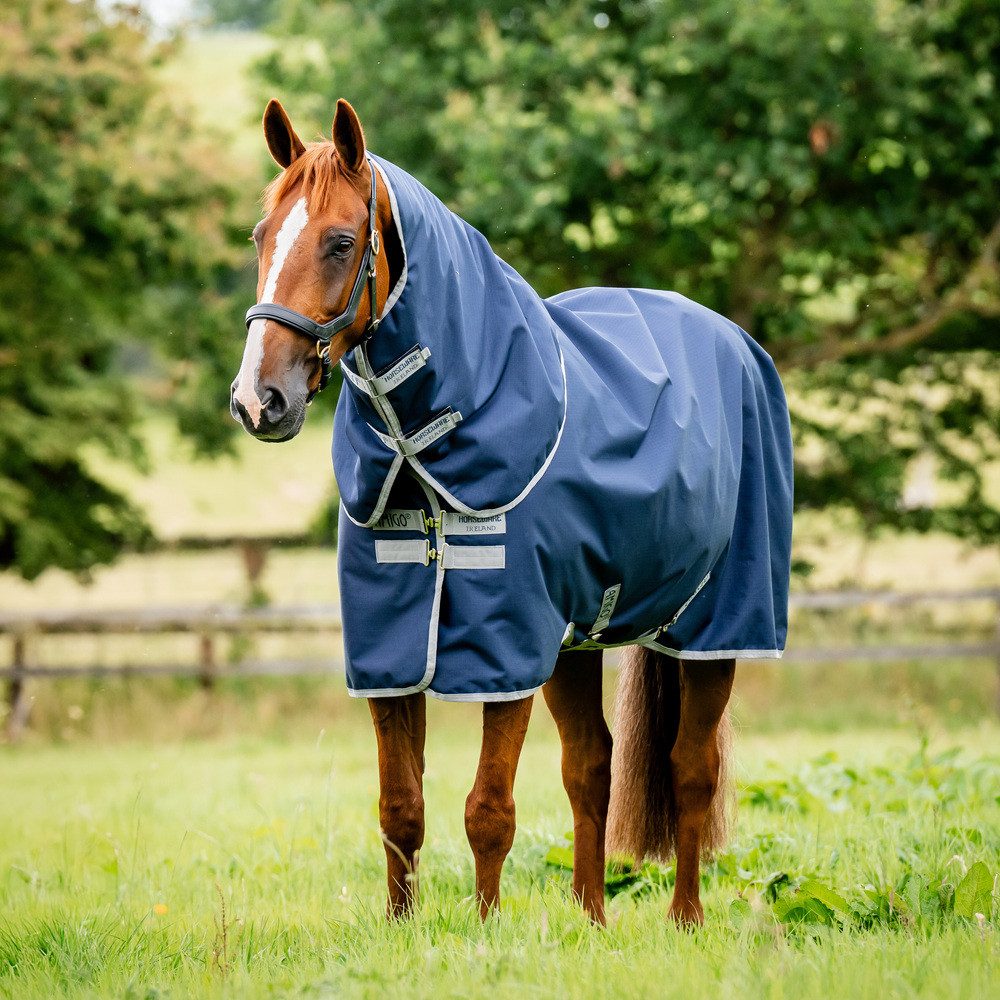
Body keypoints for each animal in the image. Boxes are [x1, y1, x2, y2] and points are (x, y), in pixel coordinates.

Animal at [230, 98, 793, 926]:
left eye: (339, 241)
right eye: (261, 236)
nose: (258, 400)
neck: (424, 451)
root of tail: (738, 344)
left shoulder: (506, 646)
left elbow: (487, 808)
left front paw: (485, 929)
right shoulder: (394, 644)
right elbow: (400, 806)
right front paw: (402, 927)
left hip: (716, 625)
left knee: (692, 767)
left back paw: (685, 918)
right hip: (576, 641)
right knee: (592, 765)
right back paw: (590, 918)